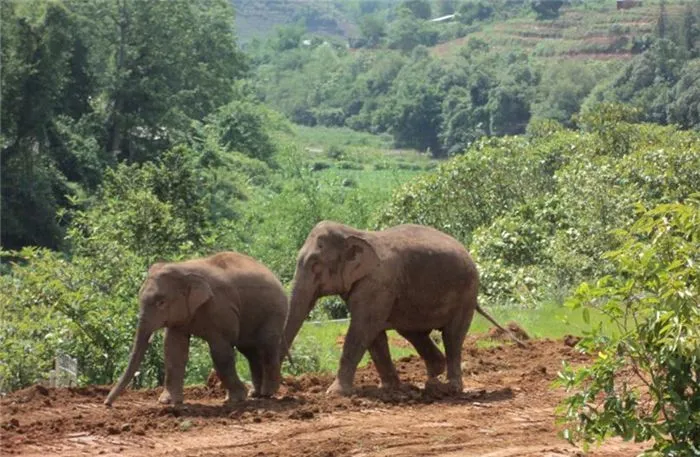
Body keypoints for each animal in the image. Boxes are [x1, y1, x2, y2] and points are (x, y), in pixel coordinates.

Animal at [103, 251, 288, 404]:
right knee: (250, 351)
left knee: (267, 346)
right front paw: (167, 401)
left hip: (275, 312)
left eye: (161, 302)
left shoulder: (220, 308)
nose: (107, 403)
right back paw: (255, 394)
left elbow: (220, 352)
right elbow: (173, 349)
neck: (183, 268)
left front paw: (235, 399)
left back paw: (267, 394)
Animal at [282, 221, 524, 396]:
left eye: (315, 265)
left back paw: (451, 388)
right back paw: (432, 380)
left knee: (452, 336)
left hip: (466, 293)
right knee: (414, 332)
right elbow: (374, 335)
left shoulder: (378, 284)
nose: (290, 375)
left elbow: (362, 329)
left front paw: (334, 394)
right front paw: (389, 389)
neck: (354, 233)